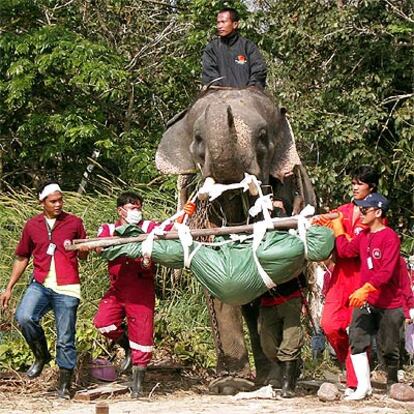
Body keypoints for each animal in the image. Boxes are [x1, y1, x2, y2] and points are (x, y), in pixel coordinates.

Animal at [156, 86, 316, 392]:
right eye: (198, 139)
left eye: (263, 136)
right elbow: (222, 294)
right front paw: (229, 385)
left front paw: (274, 379)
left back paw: (276, 377)